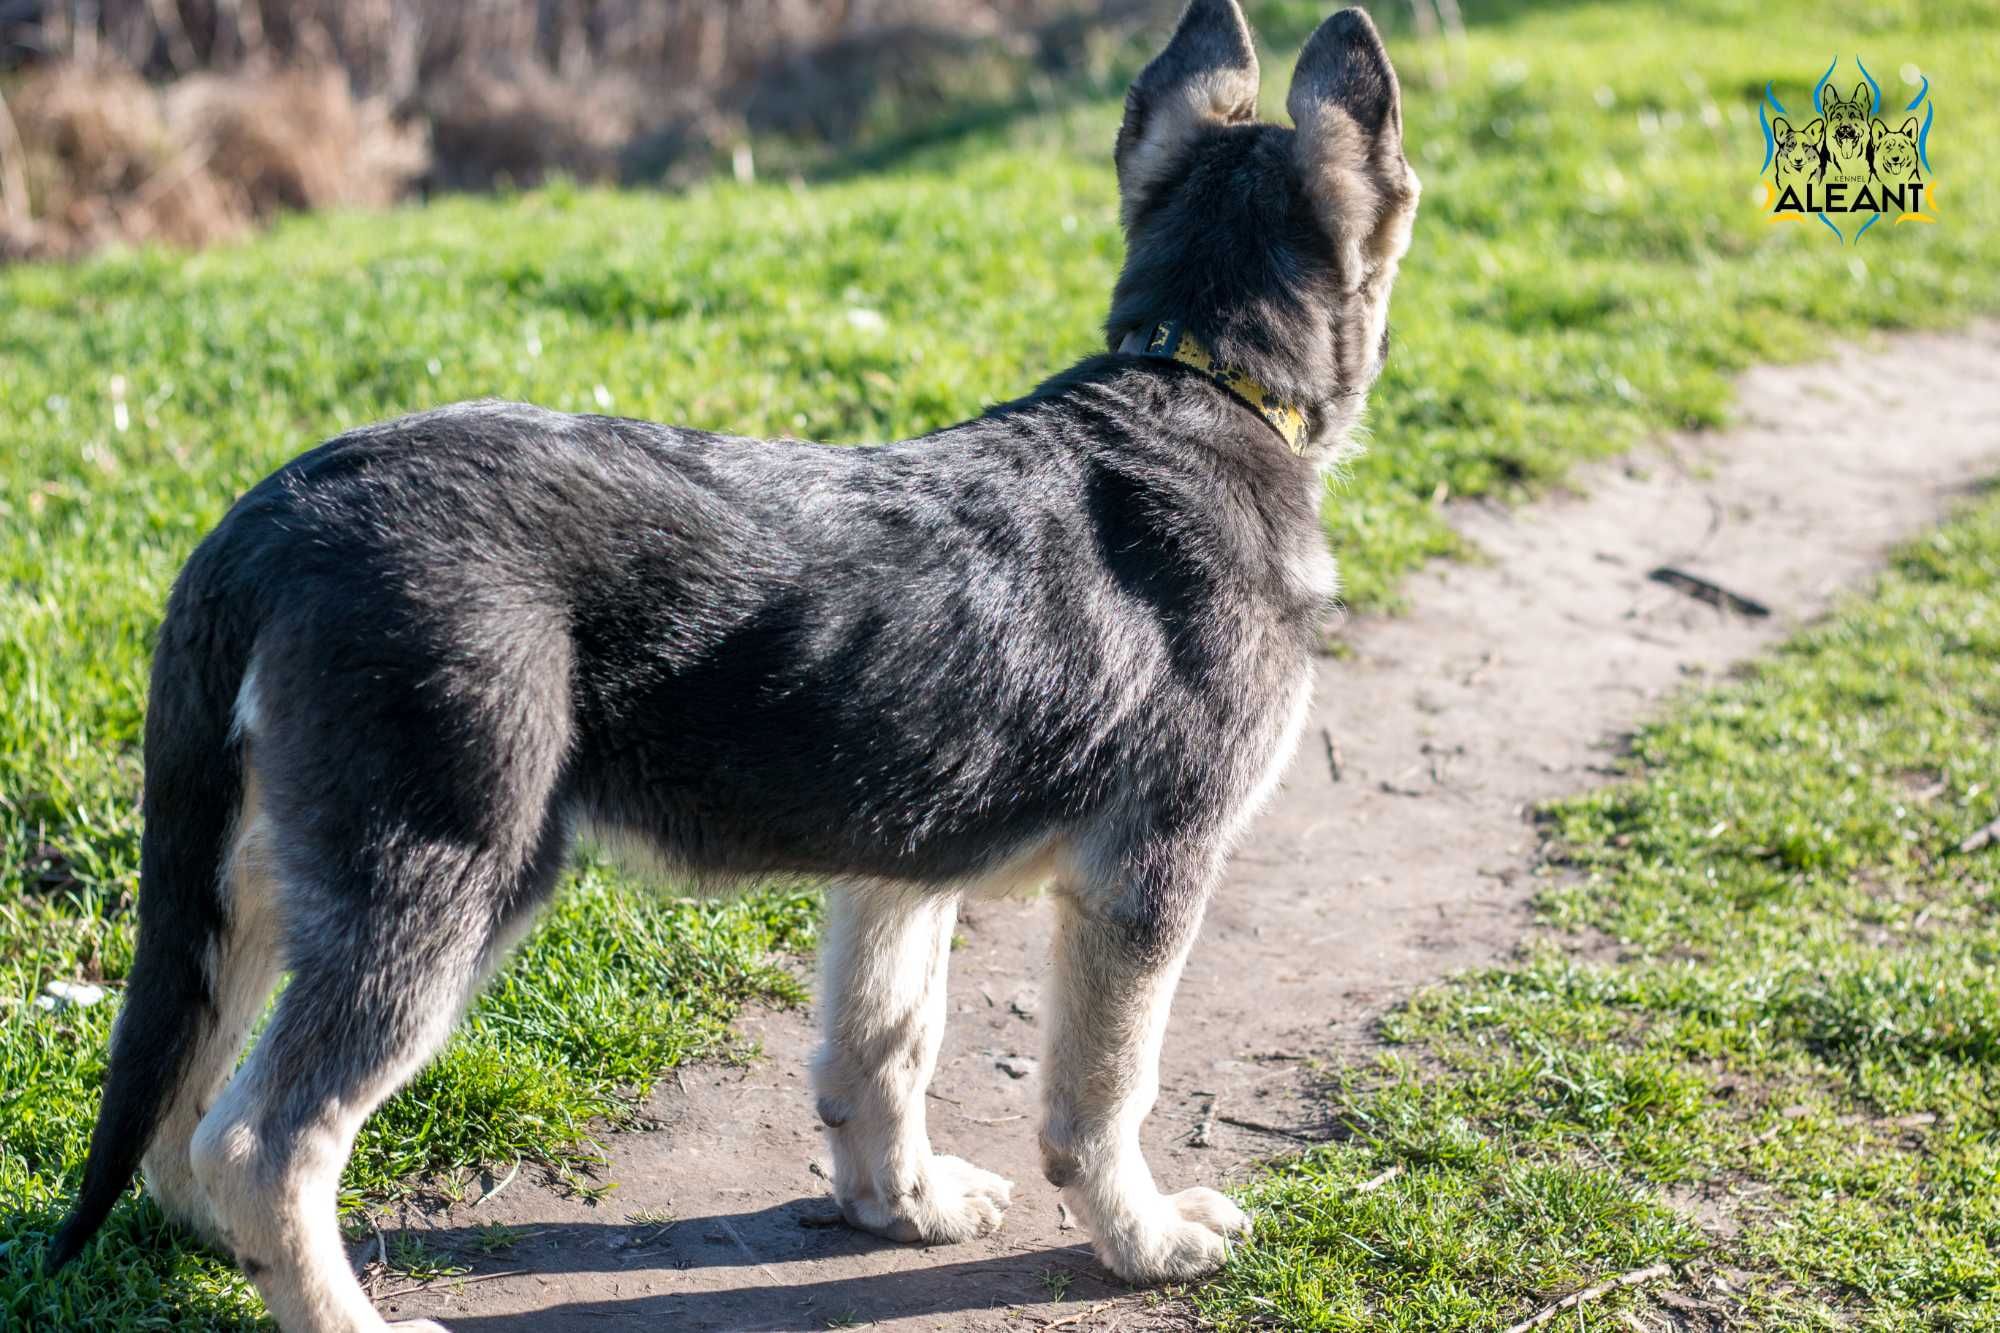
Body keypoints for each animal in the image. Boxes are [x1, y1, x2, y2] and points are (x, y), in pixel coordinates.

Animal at [50, 5, 1424, 1320]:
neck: (1202, 382)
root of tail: (276, 513)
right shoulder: (1146, 876)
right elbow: (1101, 1093)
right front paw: (1144, 1241)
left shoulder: (896, 872)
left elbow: (882, 1049)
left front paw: (901, 1207)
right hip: (438, 882)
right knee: (266, 1143)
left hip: (255, 874)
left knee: (181, 1108)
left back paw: (221, 1257)